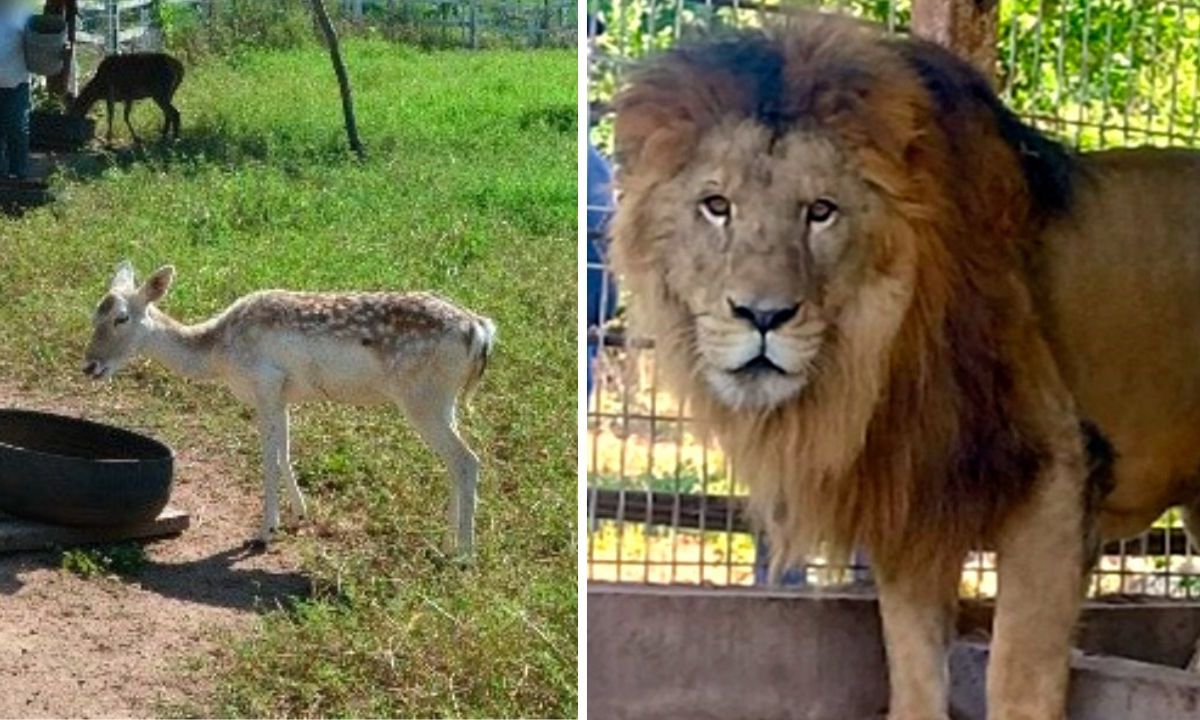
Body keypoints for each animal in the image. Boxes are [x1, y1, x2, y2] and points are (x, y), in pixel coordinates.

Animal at [83, 261, 492, 554]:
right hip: (444, 401)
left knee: (467, 460)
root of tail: (480, 330)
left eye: (121, 318)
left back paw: (465, 555)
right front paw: (297, 516)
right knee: (454, 462)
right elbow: (284, 452)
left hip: (422, 398)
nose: (90, 366)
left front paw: (263, 533)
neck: (219, 354)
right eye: (94, 314)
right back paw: (445, 543)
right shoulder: (283, 394)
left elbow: (268, 457)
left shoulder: (265, 383)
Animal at [609, 15, 1200, 720]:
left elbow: (1017, 680)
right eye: (717, 206)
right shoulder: (910, 497)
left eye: (821, 211)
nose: (762, 315)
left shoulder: (1058, 479)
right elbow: (914, 676)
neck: (874, 362)